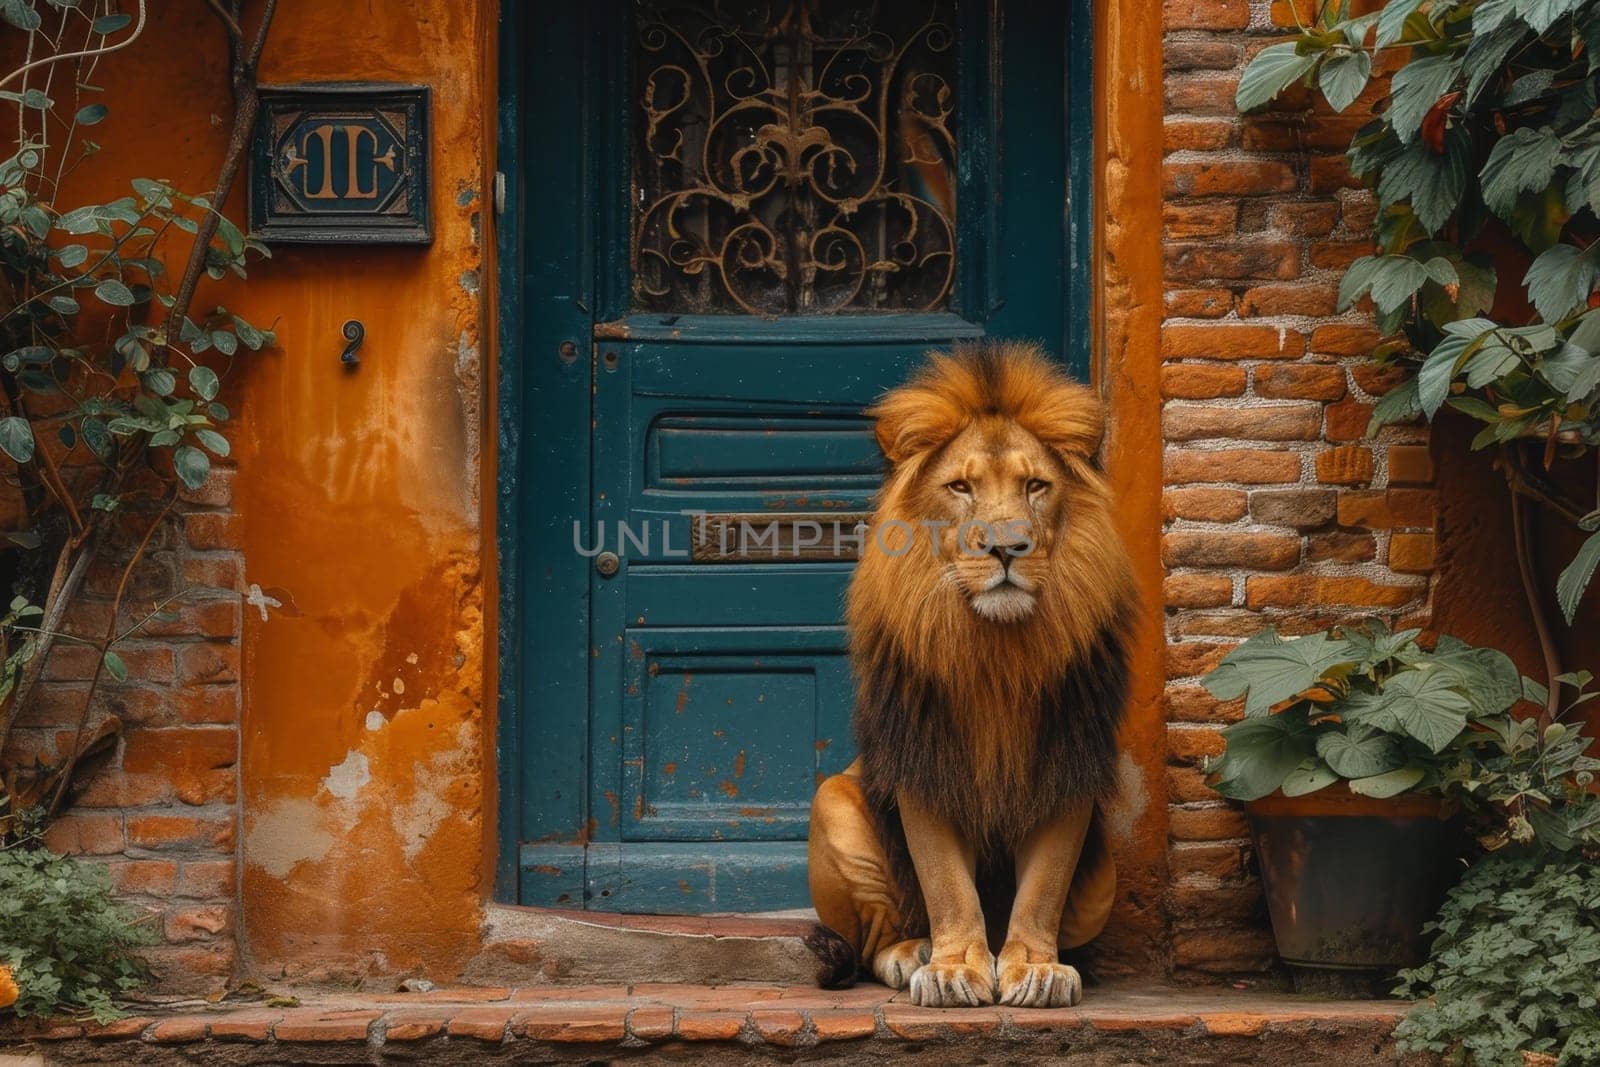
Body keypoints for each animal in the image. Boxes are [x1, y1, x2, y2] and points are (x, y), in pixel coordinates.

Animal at [806, 342, 1132, 1011]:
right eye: (960, 487)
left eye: (1035, 486)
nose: (1007, 548)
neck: (996, 651)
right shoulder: (924, 759)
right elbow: (945, 882)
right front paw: (955, 966)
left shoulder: (1068, 760)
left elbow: (1044, 886)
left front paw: (1036, 966)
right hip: (834, 803)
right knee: (874, 939)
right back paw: (912, 954)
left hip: (1104, 878)